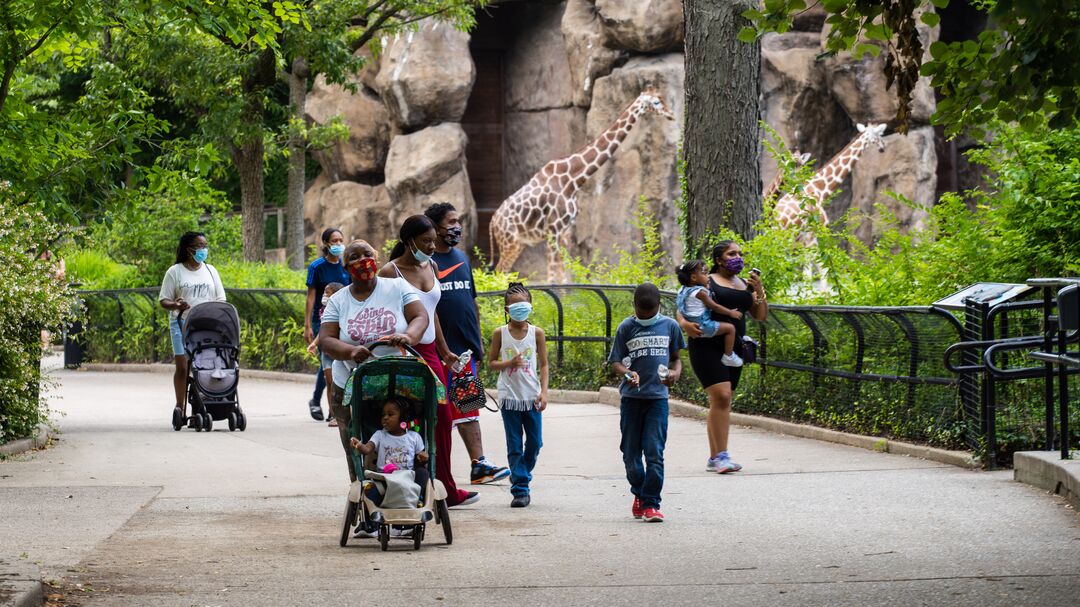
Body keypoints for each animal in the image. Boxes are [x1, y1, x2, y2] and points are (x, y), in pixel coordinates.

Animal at [492, 88, 673, 280]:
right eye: (656, 102)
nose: (671, 114)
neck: (573, 179)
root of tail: (492, 223)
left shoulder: (565, 231)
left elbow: (563, 277)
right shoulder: (553, 230)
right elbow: (552, 277)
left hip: (519, 244)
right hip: (510, 243)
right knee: (499, 271)